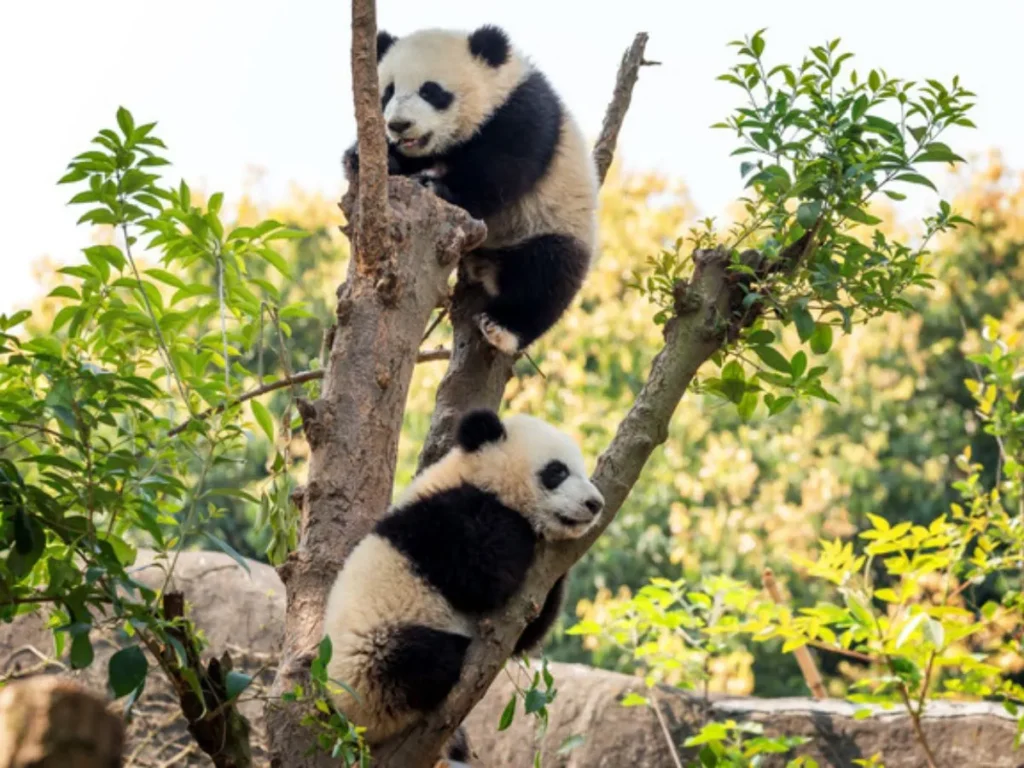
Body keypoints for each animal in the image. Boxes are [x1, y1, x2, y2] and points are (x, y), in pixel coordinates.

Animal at [322, 409, 604, 751]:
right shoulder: (439, 522)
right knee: (417, 658)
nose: (595, 504)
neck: (472, 474)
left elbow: (527, 627)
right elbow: (480, 576)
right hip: (370, 656)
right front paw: (520, 528)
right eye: (557, 471)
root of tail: (362, 728)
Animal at [344, 24, 599, 355]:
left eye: (431, 91)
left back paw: (503, 328)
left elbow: (501, 168)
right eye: (388, 92)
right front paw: (363, 158)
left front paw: (434, 185)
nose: (399, 125)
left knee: (548, 273)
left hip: (557, 221)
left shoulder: (522, 111)